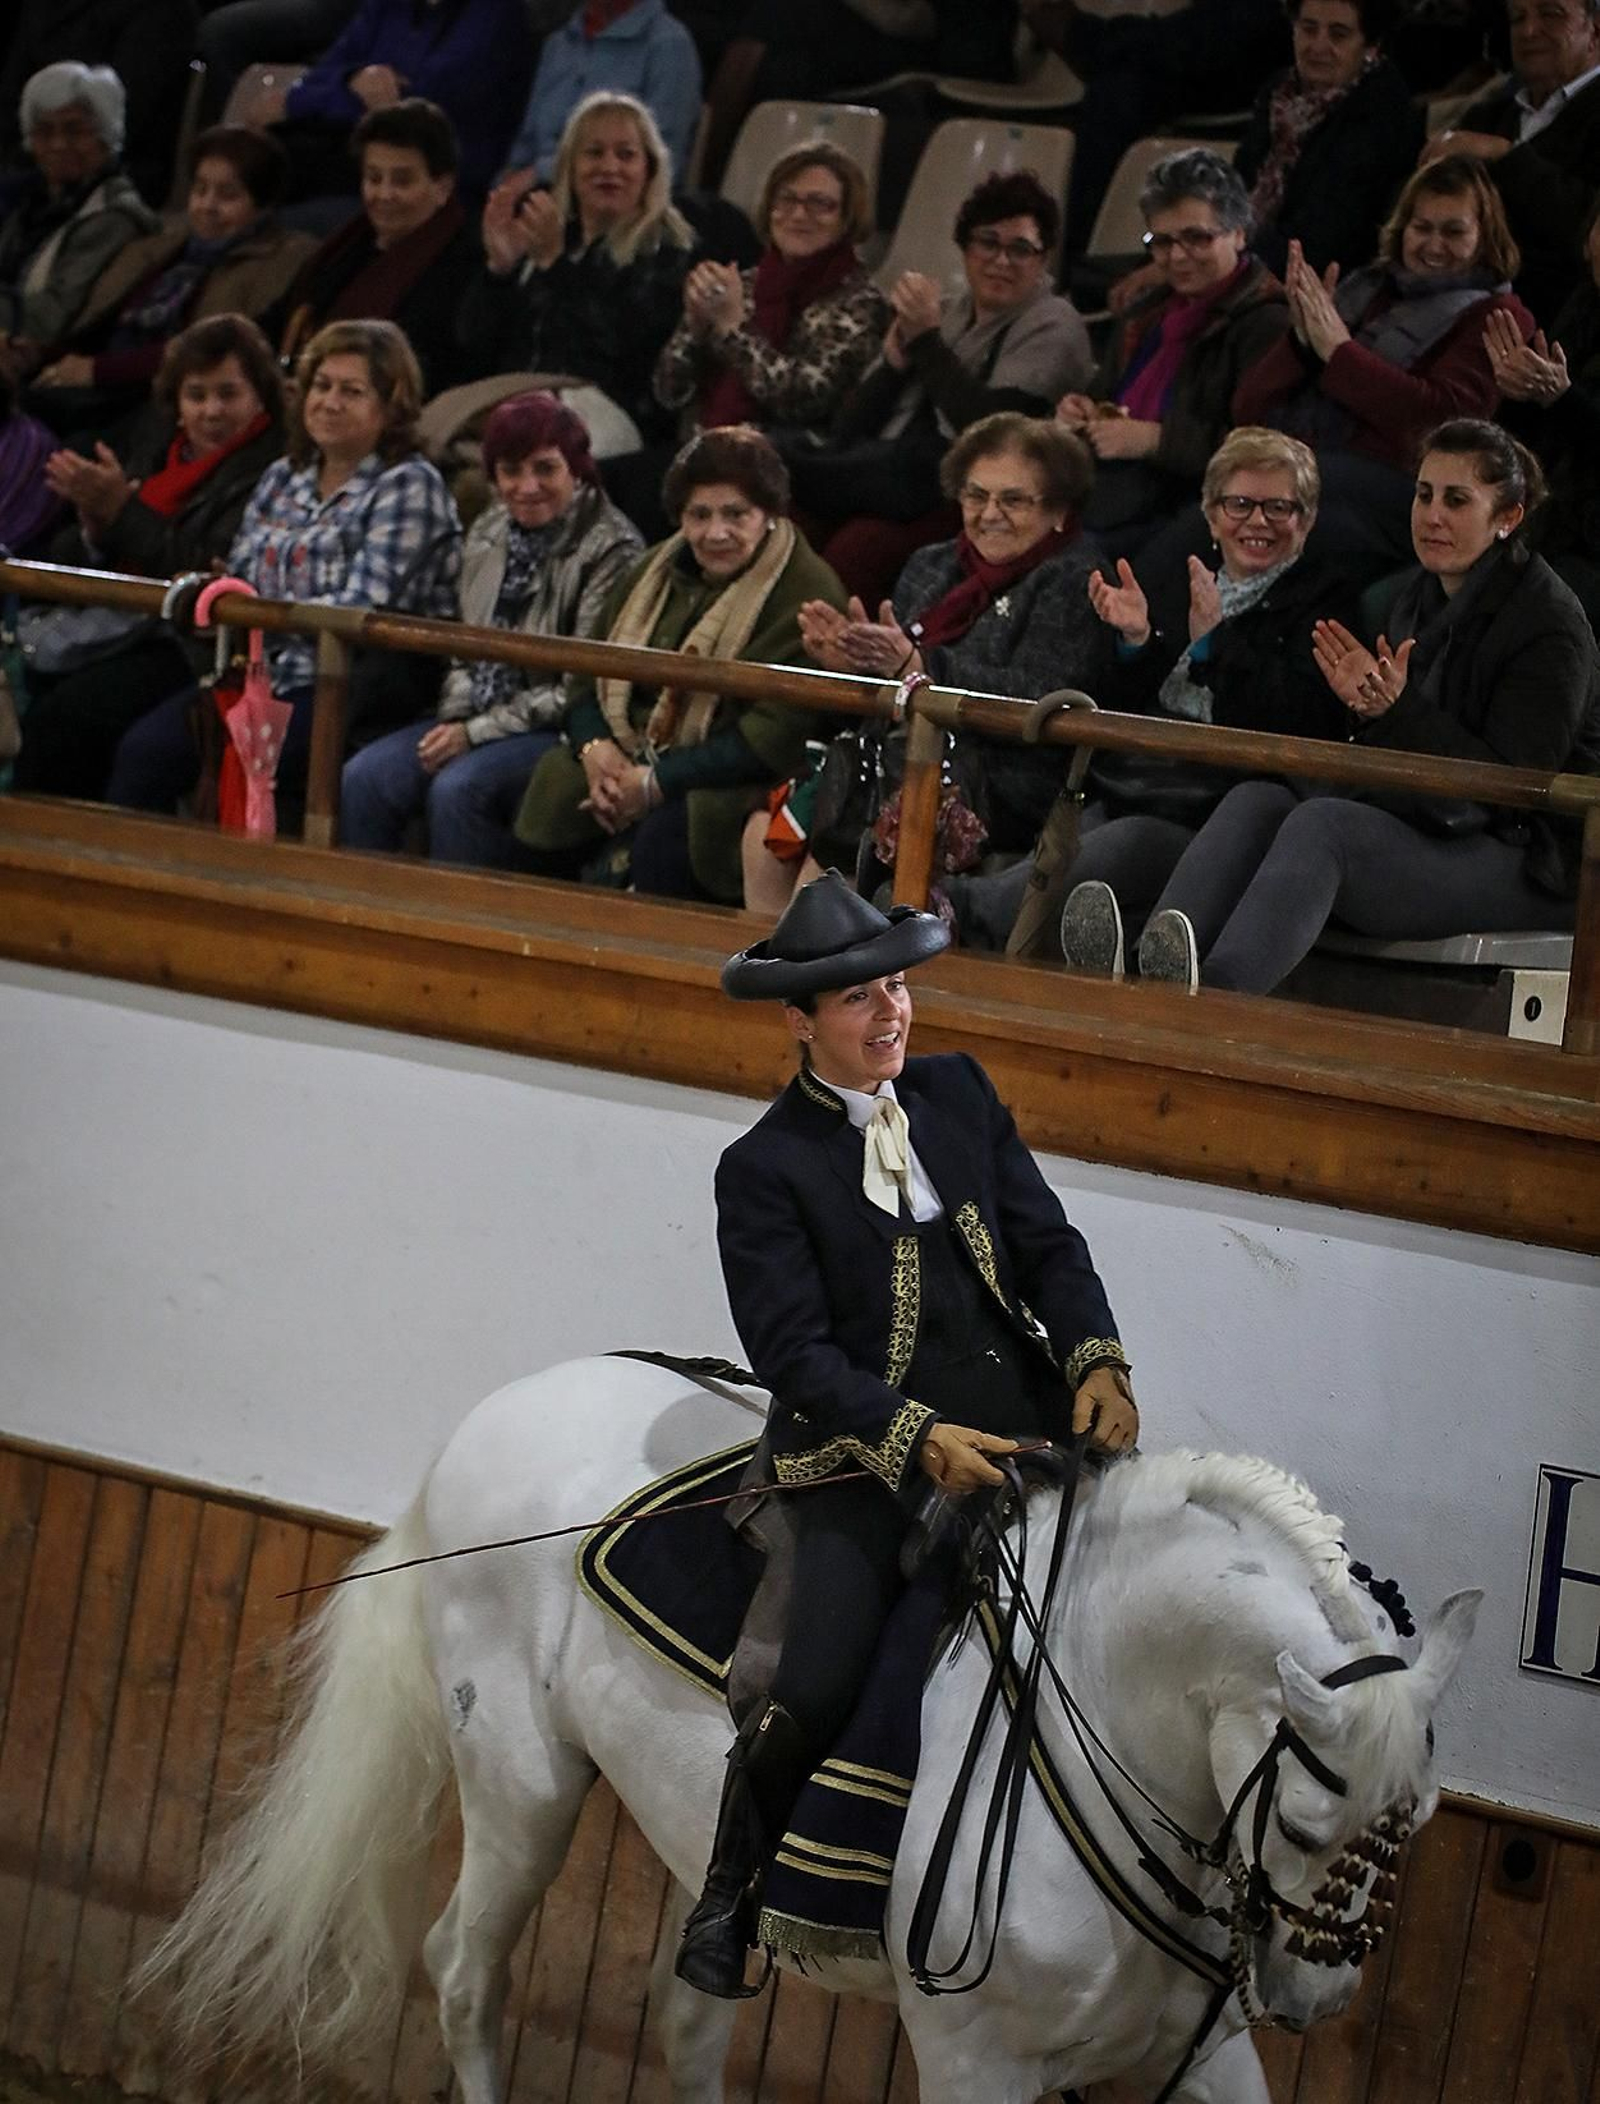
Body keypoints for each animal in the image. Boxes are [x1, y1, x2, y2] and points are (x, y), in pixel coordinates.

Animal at [145, 1354, 1480, 2104]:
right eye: (1305, 1825)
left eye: (1409, 1829)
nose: (1312, 2003)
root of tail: (489, 1416)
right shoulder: (975, 2064)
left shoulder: (1195, 2059)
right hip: (522, 1787)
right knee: (466, 1975)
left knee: (685, 2013)